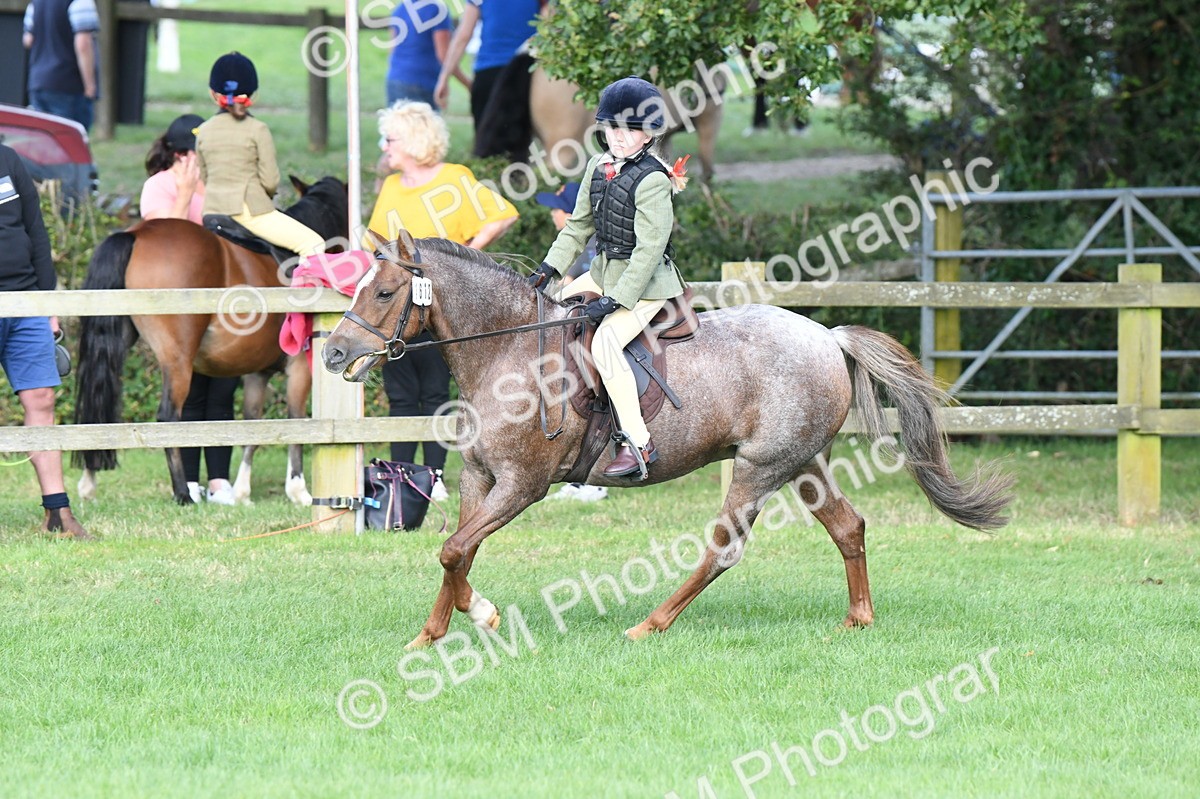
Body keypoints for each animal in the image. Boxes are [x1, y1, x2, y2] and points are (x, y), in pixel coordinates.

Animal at [73, 176, 348, 506]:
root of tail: (137, 233)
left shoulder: (258, 373)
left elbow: (254, 426)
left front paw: (242, 493)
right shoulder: (298, 370)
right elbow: (295, 421)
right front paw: (298, 491)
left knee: (98, 403)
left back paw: (88, 484)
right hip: (177, 359)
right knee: (169, 415)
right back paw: (182, 492)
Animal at [321, 231, 1012, 649]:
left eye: (385, 292)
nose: (332, 353)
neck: (509, 351)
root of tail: (826, 336)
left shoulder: (522, 485)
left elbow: (453, 549)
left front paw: (475, 619)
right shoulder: (479, 477)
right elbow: (457, 555)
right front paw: (437, 631)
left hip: (759, 469)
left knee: (725, 548)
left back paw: (649, 624)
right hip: (803, 463)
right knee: (849, 527)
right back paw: (858, 618)